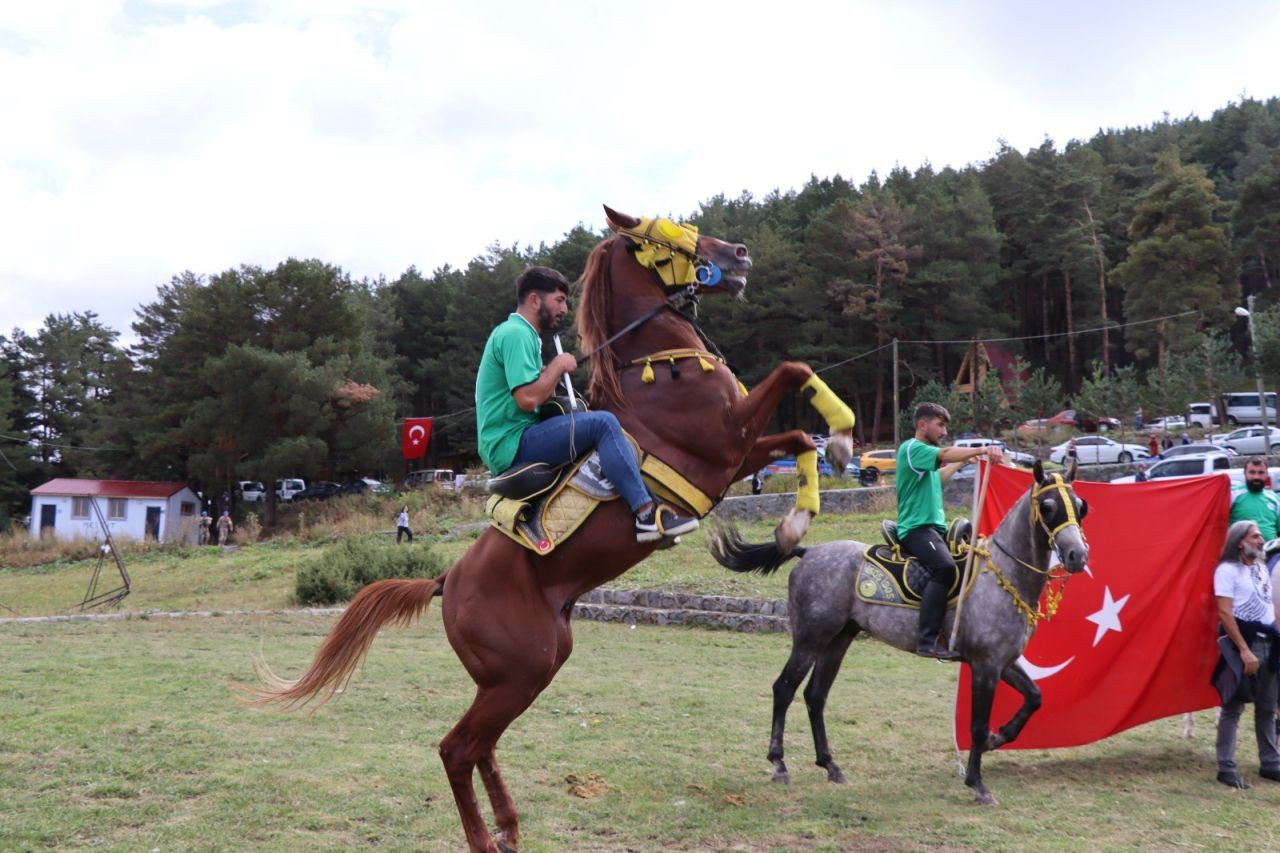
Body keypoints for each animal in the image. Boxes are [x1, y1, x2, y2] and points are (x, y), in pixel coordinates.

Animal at [244, 206, 855, 850]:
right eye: (669, 231)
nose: (739, 254)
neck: (655, 367)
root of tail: (446, 581)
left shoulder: (738, 455)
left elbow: (798, 436)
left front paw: (801, 511)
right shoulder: (725, 443)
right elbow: (794, 372)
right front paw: (837, 441)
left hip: (522, 672)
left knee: (481, 747)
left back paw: (509, 827)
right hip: (523, 671)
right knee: (457, 749)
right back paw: (485, 838)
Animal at [711, 461, 1090, 799]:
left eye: (1081, 507)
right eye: (1048, 506)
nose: (1077, 555)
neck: (1001, 576)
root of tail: (808, 552)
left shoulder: (1004, 662)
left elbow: (1034, 698)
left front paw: (999, 739)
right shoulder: (985, 665)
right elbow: (978, 725)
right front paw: (977, 784)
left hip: (838, 641)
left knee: (815, 696)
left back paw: (830, 765)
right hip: (810, 639)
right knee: (784, 689)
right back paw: (779, 764)